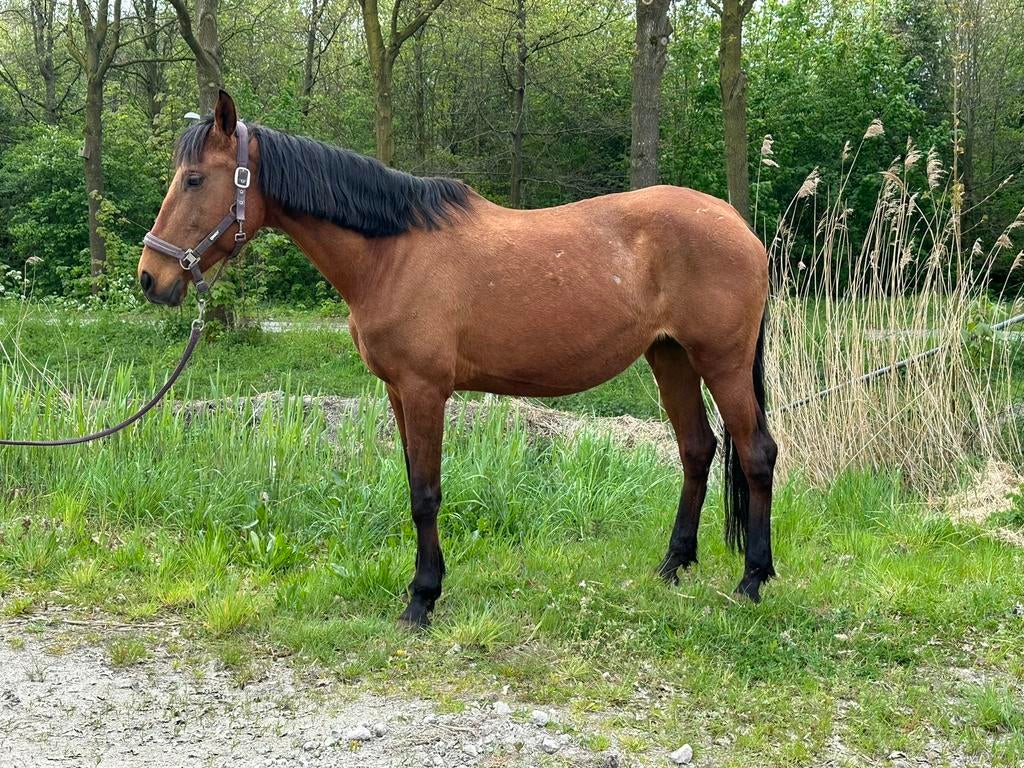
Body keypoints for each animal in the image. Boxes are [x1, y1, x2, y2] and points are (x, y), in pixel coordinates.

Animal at [138, 90, 777, 628]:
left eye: (194, 179)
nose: (152, 277)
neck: (391, 254)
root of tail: (738, 224)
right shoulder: (397, 392)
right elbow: (412, 487)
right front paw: (424, 585)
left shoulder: (425, 390)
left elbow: (426, 494)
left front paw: (422, 599)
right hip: (671, 358)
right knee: (697, 449)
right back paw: (673, 566)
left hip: (721, 362)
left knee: (756, 454)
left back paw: (753, 580)